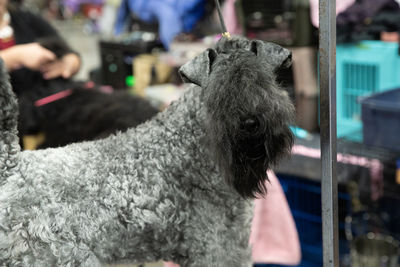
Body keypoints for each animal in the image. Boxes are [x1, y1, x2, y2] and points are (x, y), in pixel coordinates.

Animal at [0, 36, 294, 266]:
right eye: (217, 90)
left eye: (263, 79)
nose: (249, 123)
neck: (188, 145)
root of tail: (10, 166)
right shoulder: (216, 248)